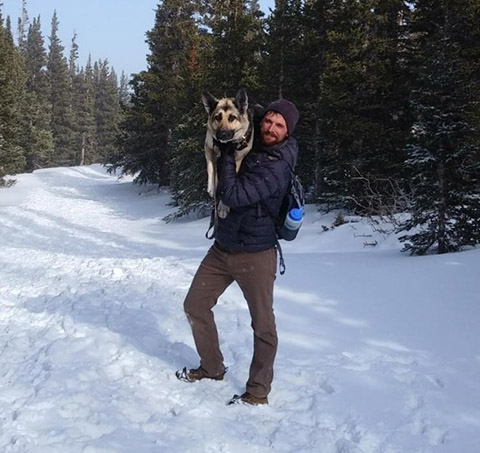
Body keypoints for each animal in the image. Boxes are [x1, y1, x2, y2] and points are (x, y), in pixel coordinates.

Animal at [202, 87, 255, 218]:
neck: (226, 145)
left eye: (232, 118)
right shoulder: (209, 147)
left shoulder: (237, 159)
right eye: (217, 117)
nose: (222, 134)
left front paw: (223, 206)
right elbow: (211, 167)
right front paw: (212, 186)